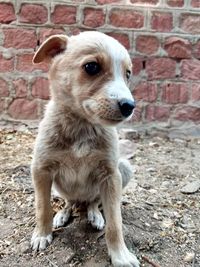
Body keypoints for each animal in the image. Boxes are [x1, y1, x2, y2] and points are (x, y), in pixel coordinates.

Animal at [30, 31, 139, 267]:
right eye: (91, 67)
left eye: (128, 74)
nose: (129, 106)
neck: (81, 126)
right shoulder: (41, 169)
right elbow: (42, 207)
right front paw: (42, 234)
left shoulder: (110, 176)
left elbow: (115, 222)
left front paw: (120, 255)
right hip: (58, 187)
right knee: (69, 201)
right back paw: (63, 214)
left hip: (123, 169)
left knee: (94, 202)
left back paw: (94, 214)